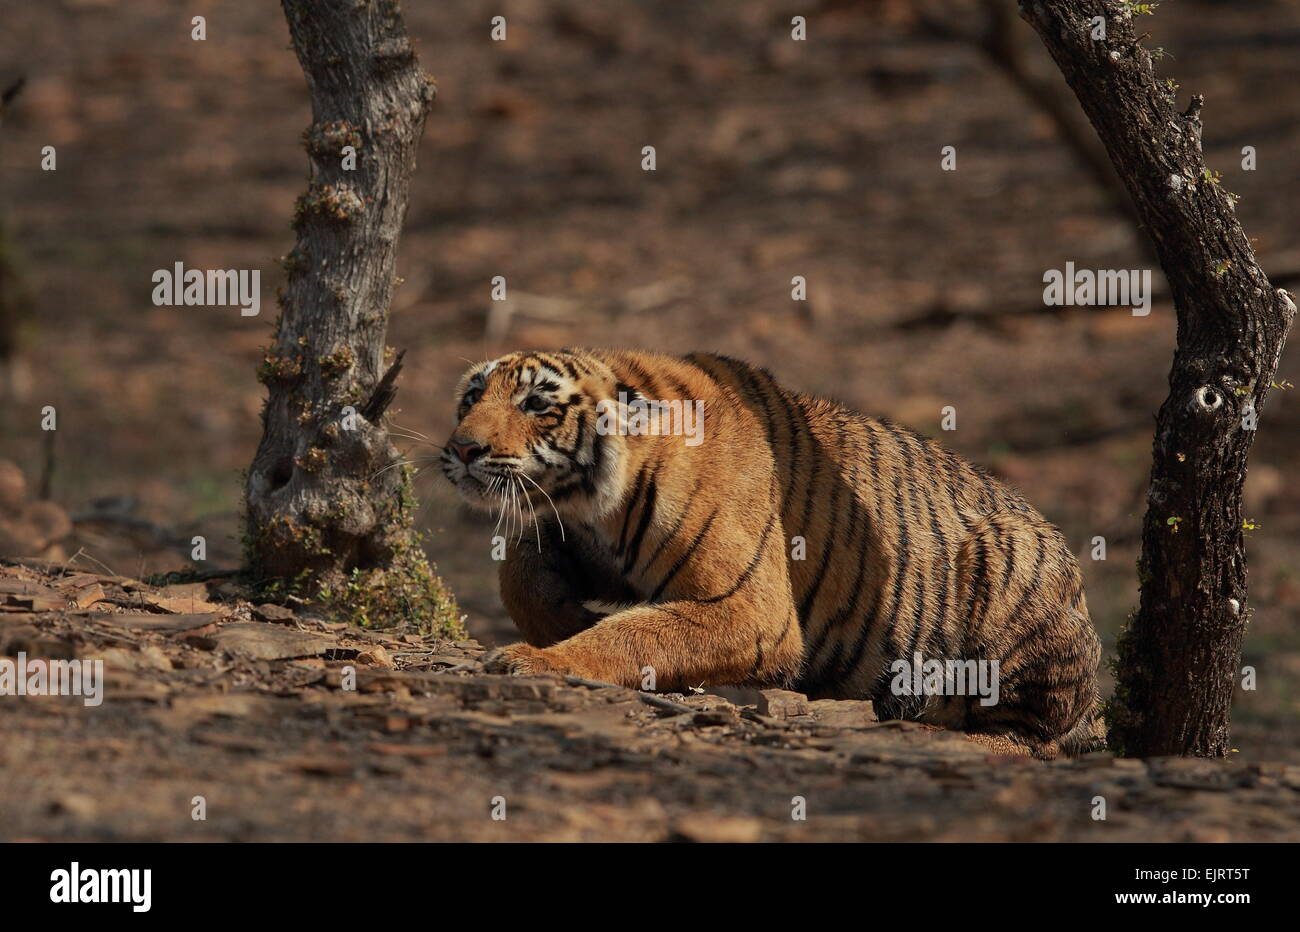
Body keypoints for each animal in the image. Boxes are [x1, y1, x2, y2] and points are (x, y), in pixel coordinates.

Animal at [441, 348, 1102, 753]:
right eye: (470, 399)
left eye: (536, 404)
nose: (464, 449)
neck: (596, 508)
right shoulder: (572, 536)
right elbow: (519, 574)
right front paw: (563, 622)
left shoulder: (752, 612)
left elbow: (636, 634)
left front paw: (536, 659)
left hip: (1016, 559)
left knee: (1031, 737)